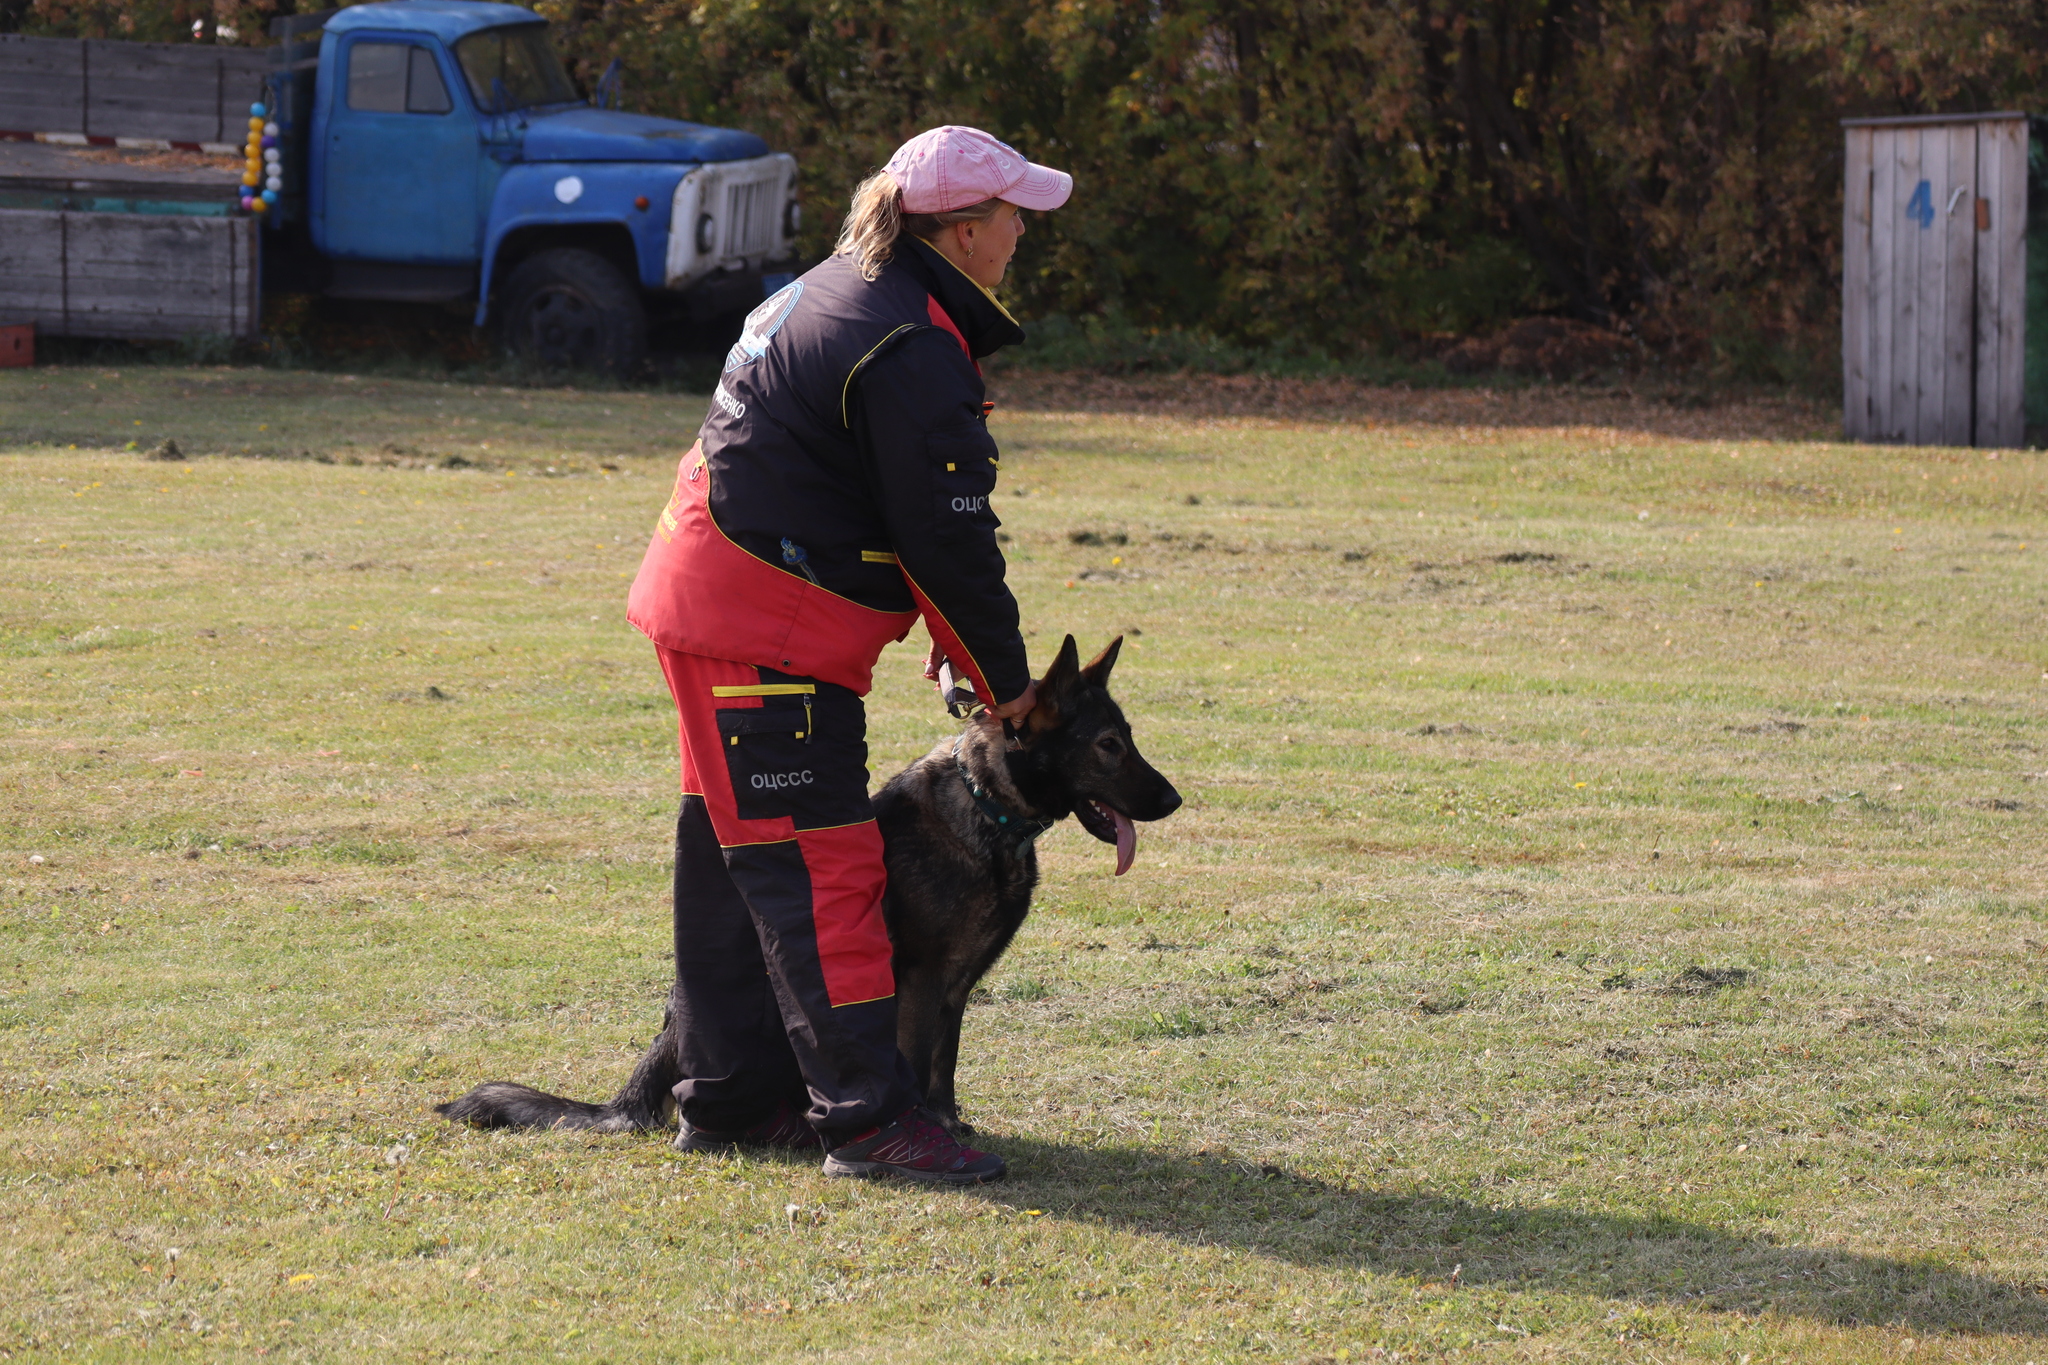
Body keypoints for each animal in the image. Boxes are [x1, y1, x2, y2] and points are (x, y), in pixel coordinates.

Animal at [444, 642, 1187, 1146]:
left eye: (1128, 739)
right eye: (1109, 744)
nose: (1175, 800)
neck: (986, 805)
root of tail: (635, 1087)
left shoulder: (955, 988)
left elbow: (942, 1068)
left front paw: (950, 1123)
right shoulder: (919, 982)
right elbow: (916, 1063)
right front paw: (925, 1132)